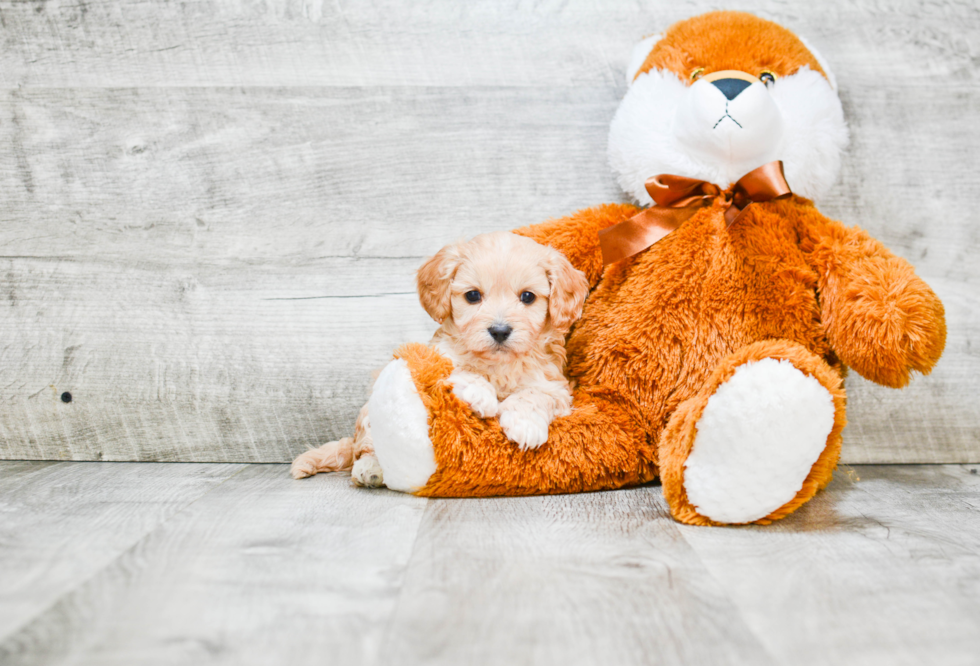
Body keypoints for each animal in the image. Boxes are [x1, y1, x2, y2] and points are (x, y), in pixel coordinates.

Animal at [290, 231, 588, 486]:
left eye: (527, 297)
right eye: (473, 296)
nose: (500, 331)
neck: (497, 365)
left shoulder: (555, 386)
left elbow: (534, 395)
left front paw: (524, 424)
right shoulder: (432, 359)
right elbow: (456, 370)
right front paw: (481, 395)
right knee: (367, 448)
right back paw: (371, 468)